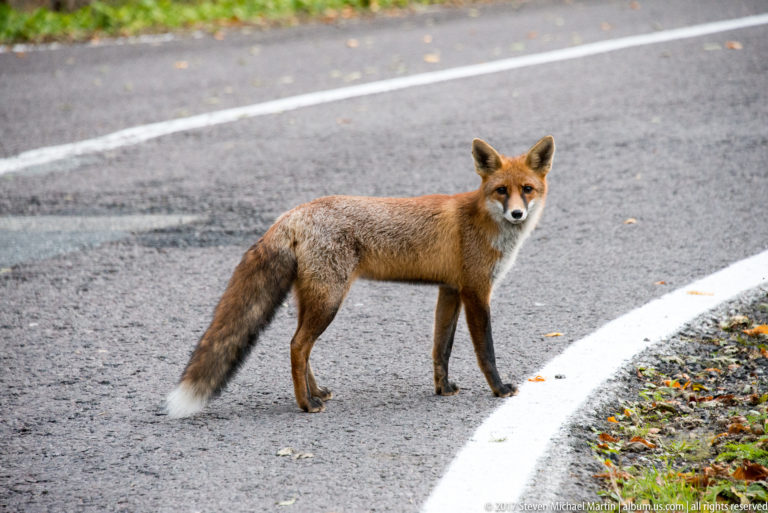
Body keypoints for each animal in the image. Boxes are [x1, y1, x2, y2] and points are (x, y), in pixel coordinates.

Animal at [166, 135, 555, 417]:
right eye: (501, 191)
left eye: (527, 189)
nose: (518, 214)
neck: (482, 221)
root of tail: (293, 213)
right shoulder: (476, 291)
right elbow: (485, 350)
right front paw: (499, 389)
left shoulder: (449, 290)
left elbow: (440, 348)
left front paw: (442, 389)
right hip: (330, 299)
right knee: (297, 345)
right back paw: (306, 404)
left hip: (314, 299)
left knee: (298, 345)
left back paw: (316, 392)